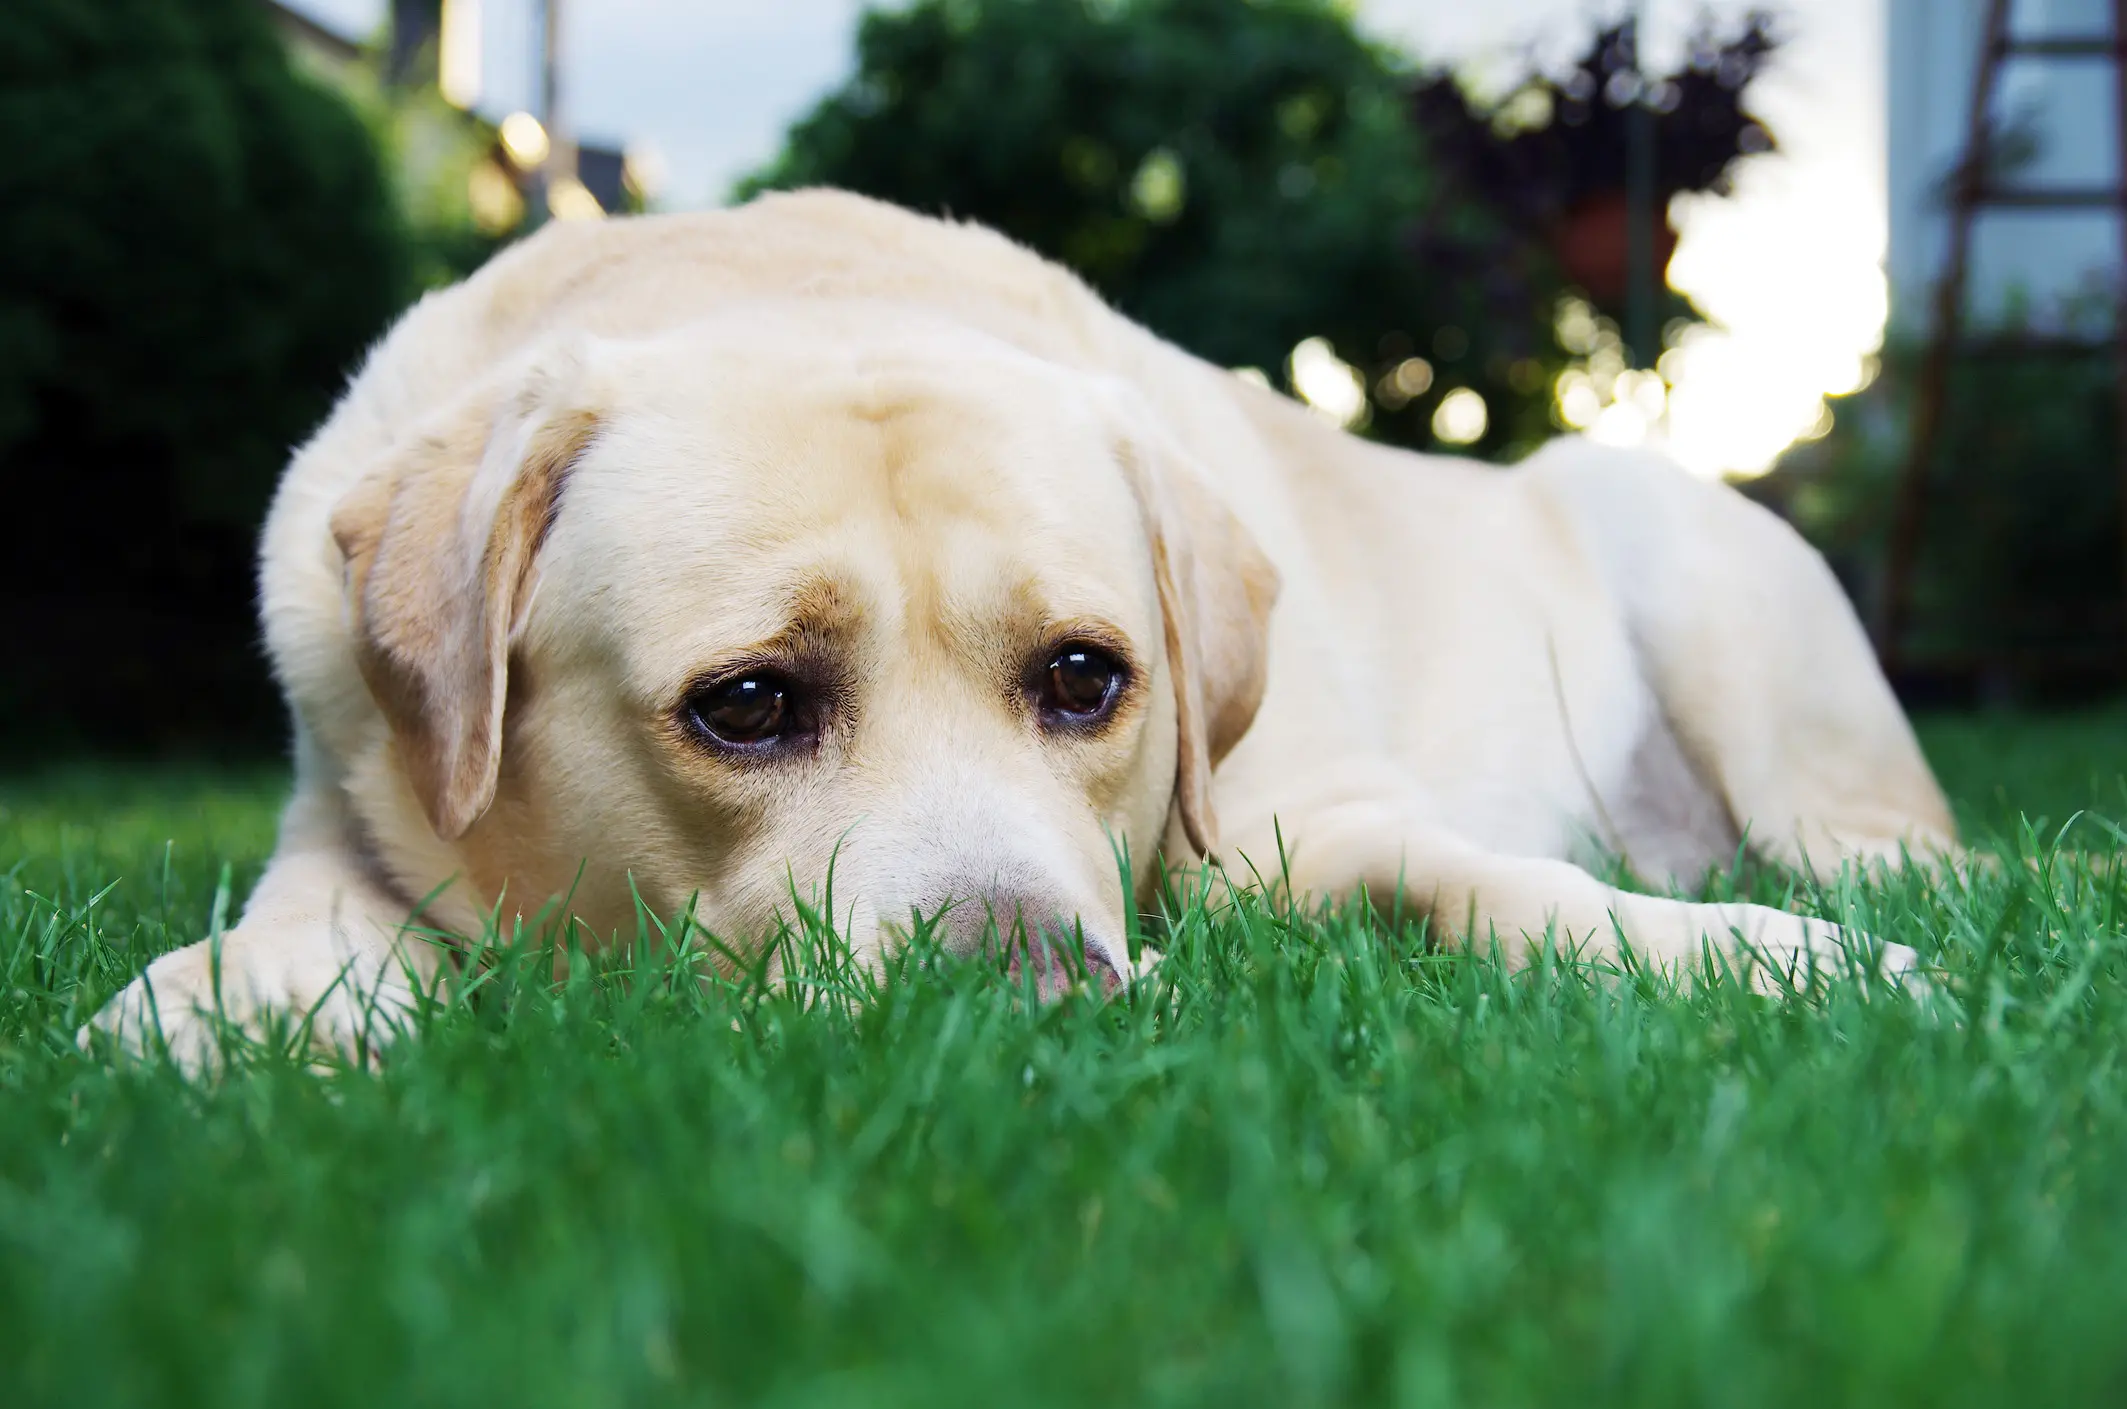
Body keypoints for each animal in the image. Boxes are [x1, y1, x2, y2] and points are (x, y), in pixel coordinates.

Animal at [95, 193, 1956, 1064]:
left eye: (1083, 678)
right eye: (746, 703)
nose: (1025, 987)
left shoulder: (1318, 818)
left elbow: (1500, 886)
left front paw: (1758, 965)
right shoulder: (347, 814)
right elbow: (295, 930)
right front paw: (211, 1016)